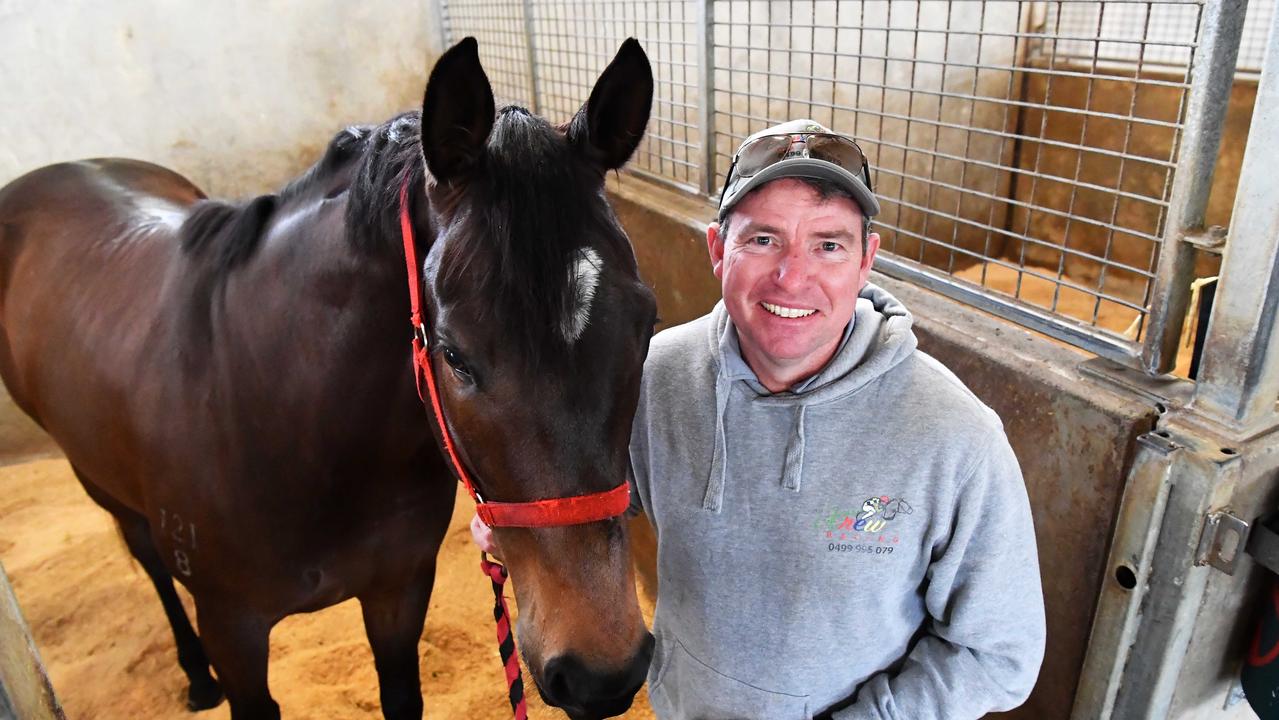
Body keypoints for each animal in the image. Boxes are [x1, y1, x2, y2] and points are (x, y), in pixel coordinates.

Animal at [0, 36, 654, 716]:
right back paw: (195, 676)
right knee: (149, 559)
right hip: (99, 482)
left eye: (646, 324)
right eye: (454, 355)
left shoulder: (397, 591)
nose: (601, 671)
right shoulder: (232, 629)